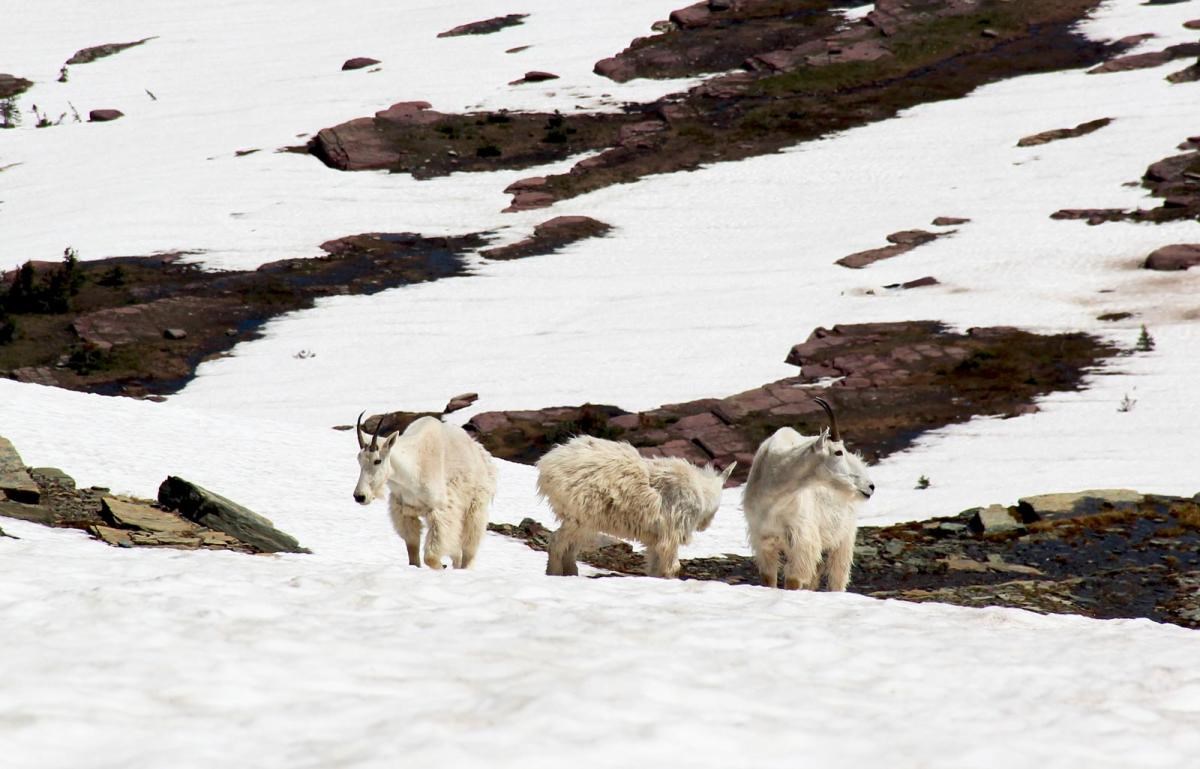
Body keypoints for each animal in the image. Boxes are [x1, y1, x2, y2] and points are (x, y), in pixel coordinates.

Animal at [350, 410, 496, 566]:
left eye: (378, 460)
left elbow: (430, 556)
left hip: (475, 507)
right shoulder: (405, 511)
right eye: (359, 459)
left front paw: (441, 566)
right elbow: (412, 549)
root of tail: (481, 453)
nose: (360, 496)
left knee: (469, 547)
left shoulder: (441, 511)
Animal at [535, 434, 729, 578]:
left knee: (570, 546)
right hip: (581, 515)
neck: (702, 491)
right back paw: (554, 572)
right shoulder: (671, 531)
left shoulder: (656, 537)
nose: (705, 526)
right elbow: (671, 566)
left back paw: (570, 573)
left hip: (583, 521)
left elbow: (655, 564)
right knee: (557, 541)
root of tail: (547, 463)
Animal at [739, 398, 873, 590]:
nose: (870, 486)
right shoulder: (763, 540)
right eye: (838, 452)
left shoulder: (802, 540)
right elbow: (768, 579)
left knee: (837, 575)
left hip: (844, 537)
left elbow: (793, 581)